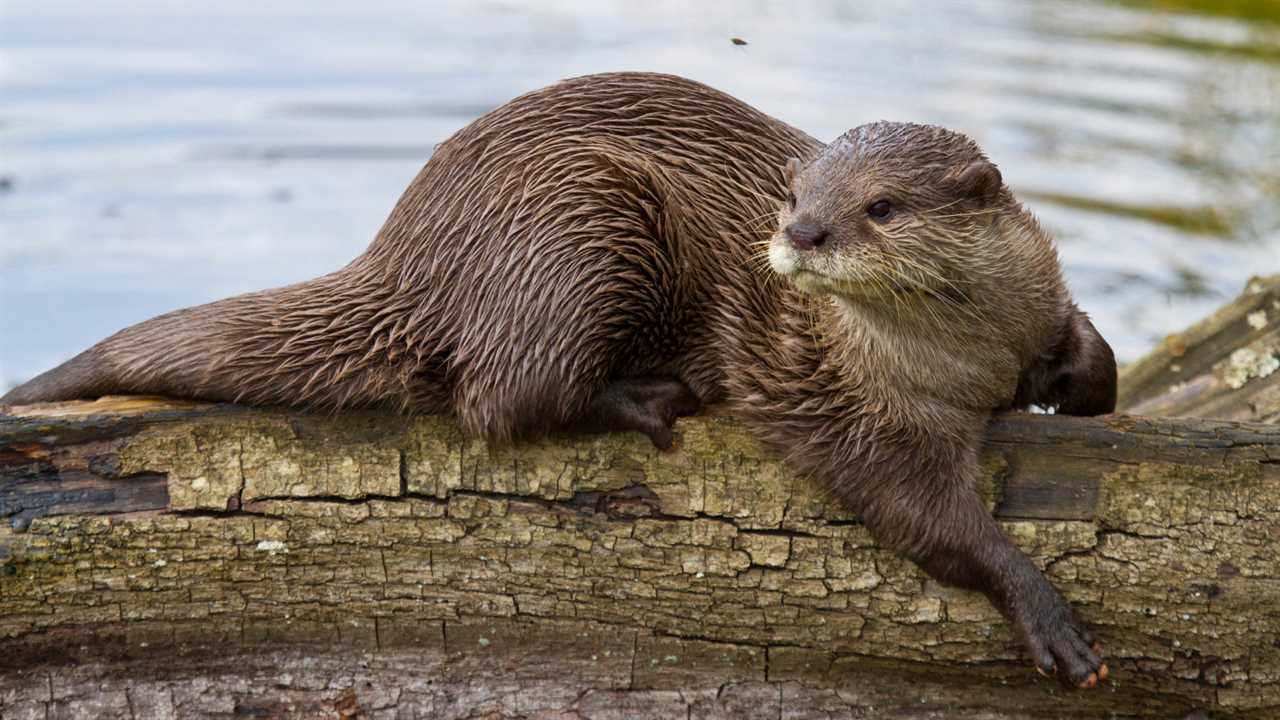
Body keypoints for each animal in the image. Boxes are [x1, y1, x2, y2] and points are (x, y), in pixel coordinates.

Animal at [2, 71, 1111, 681]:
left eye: (879, 205)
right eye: (795, 192)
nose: (802, 233)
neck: (959, 359)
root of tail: (411, 248)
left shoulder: (1028, 301)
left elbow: (1075, 339)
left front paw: (1081, 380)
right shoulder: (850, 411)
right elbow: (926, 516)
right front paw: (1045, 610)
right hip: (579, 223)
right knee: (496, 397)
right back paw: (646, 396)